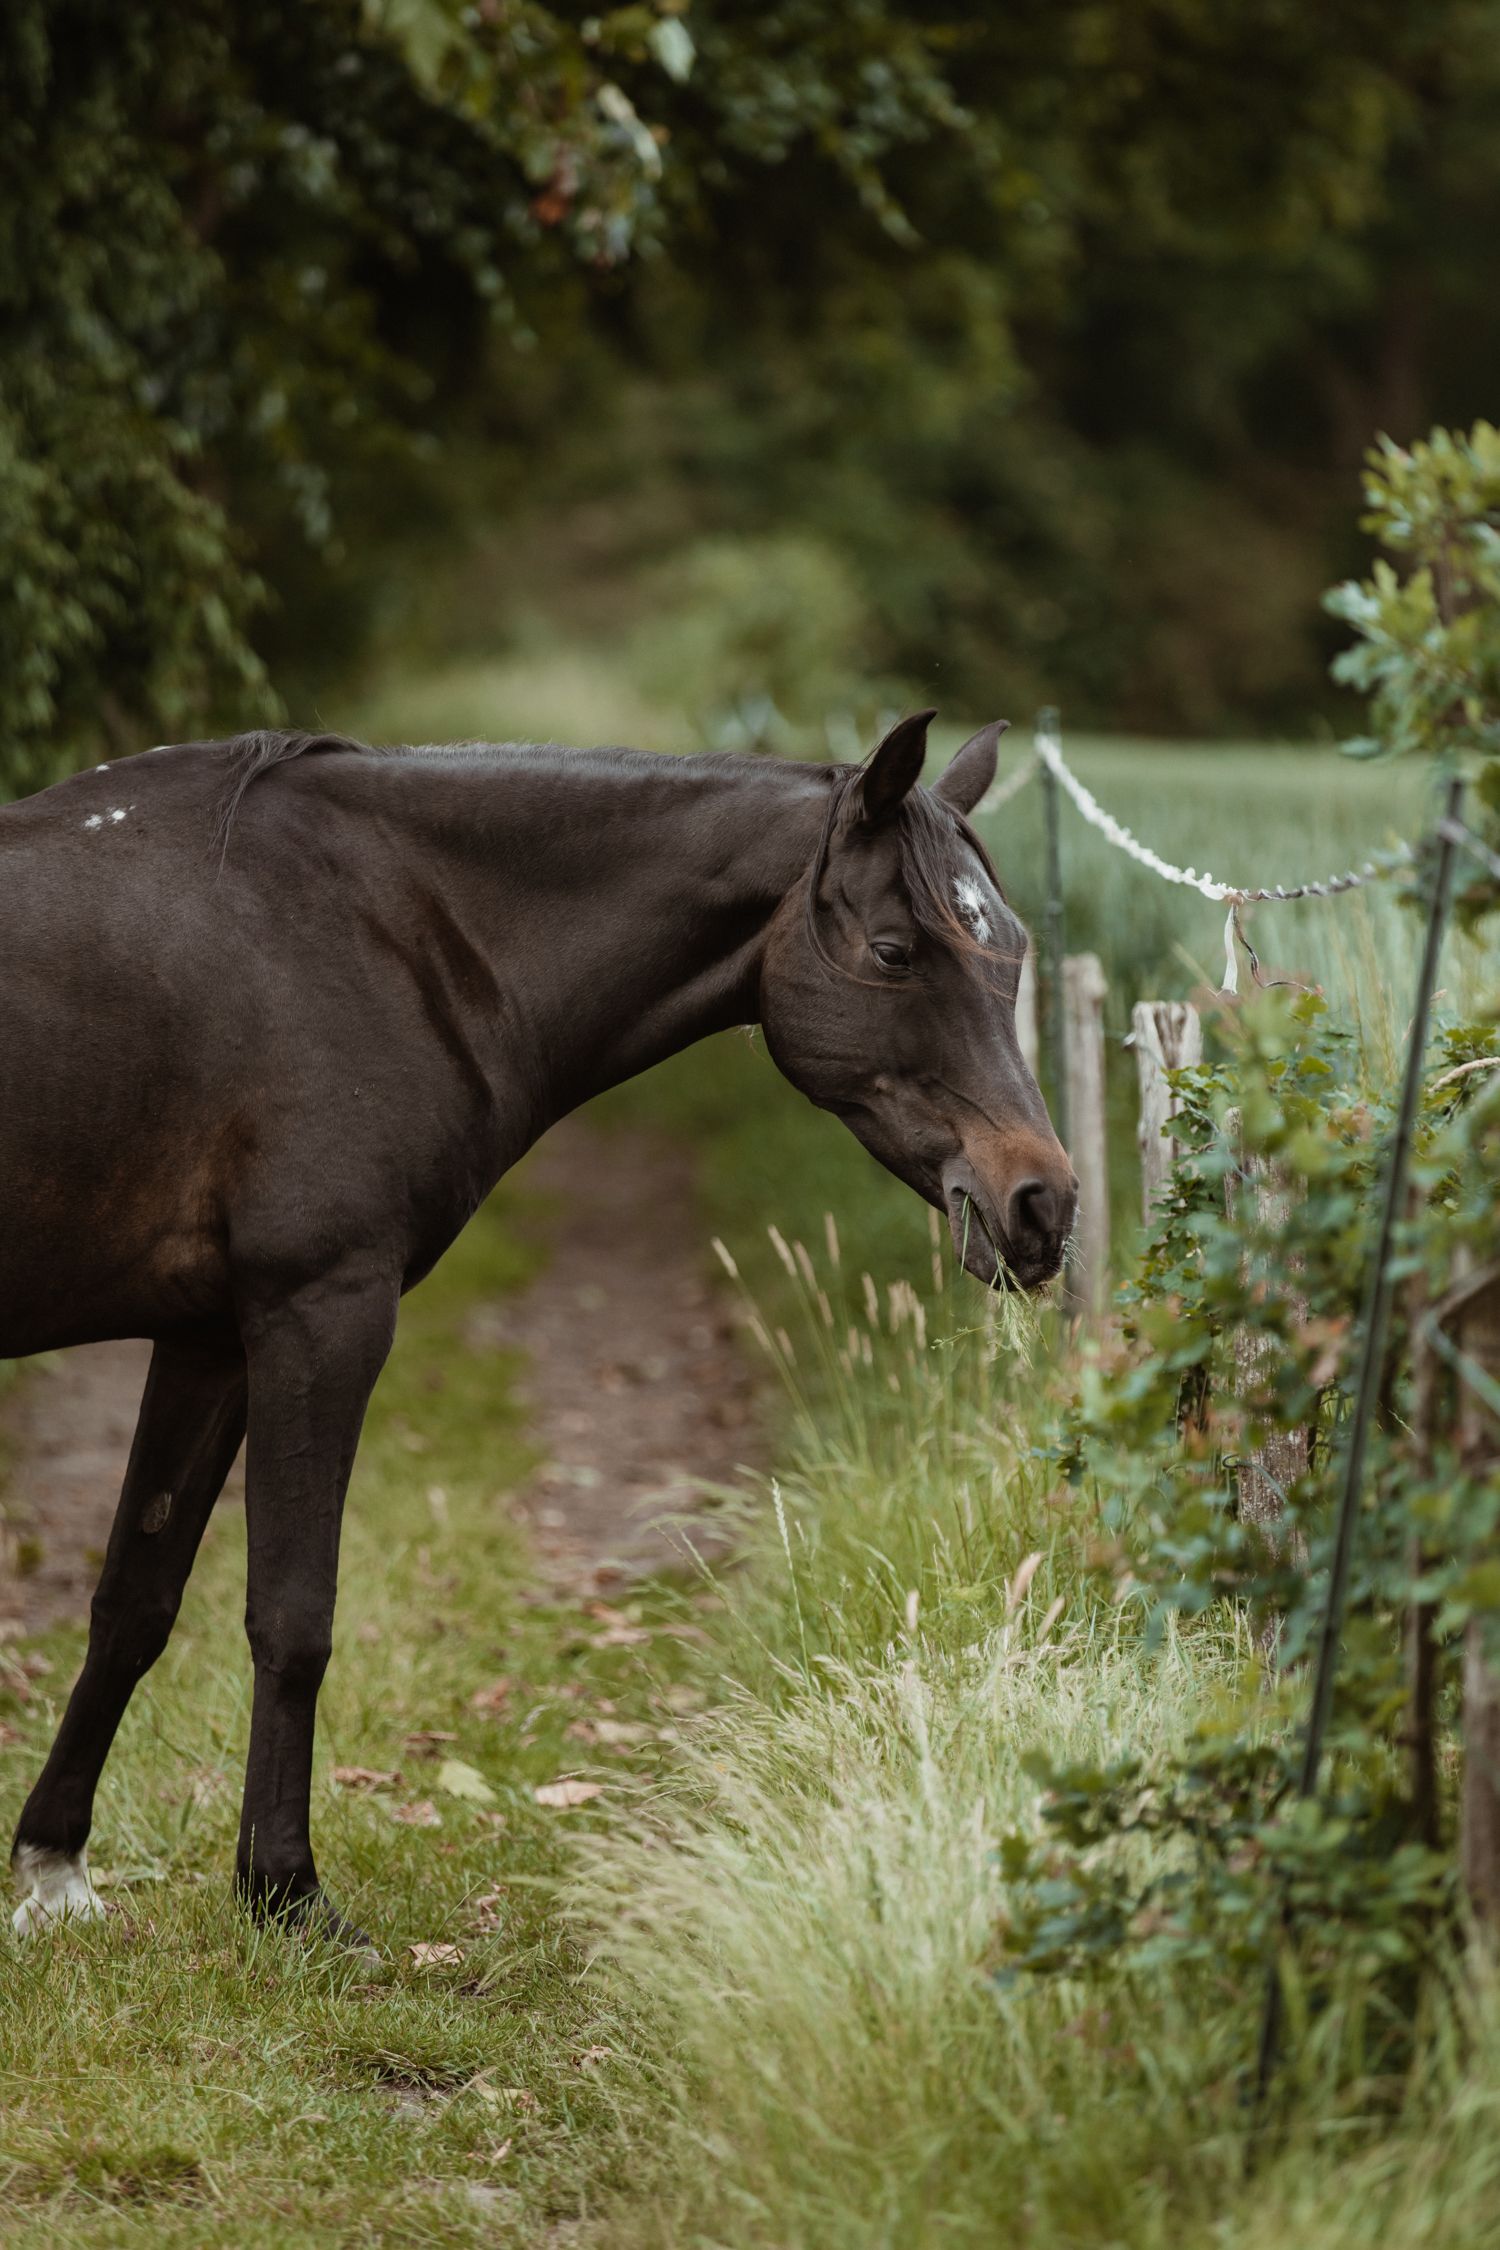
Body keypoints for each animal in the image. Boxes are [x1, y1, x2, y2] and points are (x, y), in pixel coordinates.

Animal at [1, 708, 1076, 1941]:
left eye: (1012, 954)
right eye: (898, 951)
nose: (1043, 1206)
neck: (378, 934)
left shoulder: (210, 1338)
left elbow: (135, 1601)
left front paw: (54, 1867)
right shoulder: (319, 1313)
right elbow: (292, 1616)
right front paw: (287, 1894)